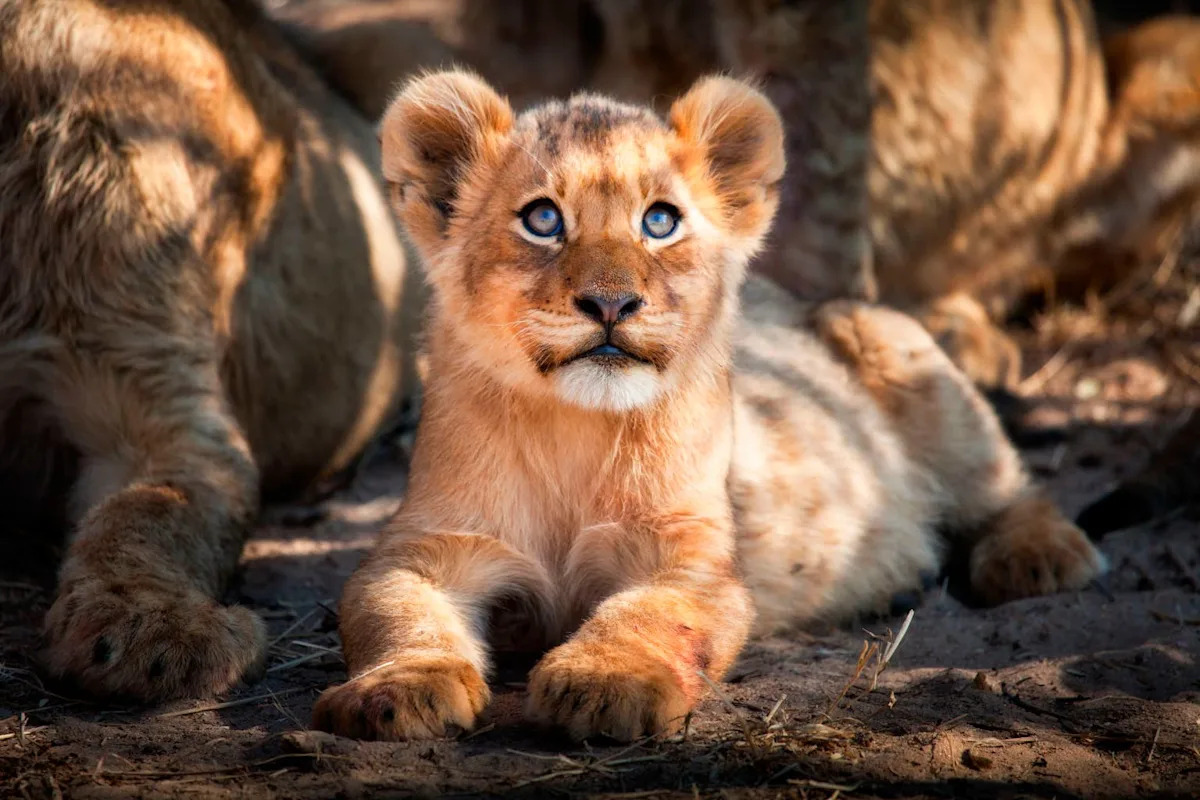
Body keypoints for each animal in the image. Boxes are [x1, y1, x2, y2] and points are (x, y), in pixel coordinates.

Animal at [310, 71, 1106, 742]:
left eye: (660, 222)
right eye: (542, 219)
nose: (611, 303)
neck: (574, 430)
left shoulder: (692, 555)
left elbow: (650, 613)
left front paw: (607, 683)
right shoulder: (427, 544)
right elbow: (391, 612)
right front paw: (397, 691)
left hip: (895, 345)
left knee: (1008, 485)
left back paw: (1038, 557)